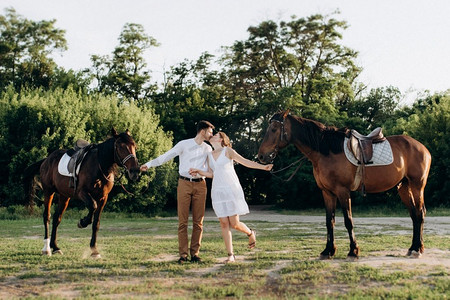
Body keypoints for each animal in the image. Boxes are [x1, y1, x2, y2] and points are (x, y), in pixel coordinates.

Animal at [23, 128, 140, 258]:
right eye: (120, 147)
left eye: (134, 146)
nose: (135, 171)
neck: (99, 167)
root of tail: (46, 160)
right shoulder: (82, 193)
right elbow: (92, 207)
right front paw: (82, 222)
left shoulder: (103, 198)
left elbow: (96, 223)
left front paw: (94, 250)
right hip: (49, 192)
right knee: (47, 217)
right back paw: (46, 249)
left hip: (64, 196)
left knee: (57, 217)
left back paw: (56, 247)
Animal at [258, 111, 430, 258]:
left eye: (273, 129)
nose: (261, 156)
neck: (327, 150)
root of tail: (422, 148)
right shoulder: (327, 192)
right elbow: (329, 221)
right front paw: (328, 250)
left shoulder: (342, 191)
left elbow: (348, 221)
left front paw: (353, 250)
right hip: (404, 187)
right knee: (414, 215)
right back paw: (414, 247)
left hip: (417, 186)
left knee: (420, 213)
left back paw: (417, 249)